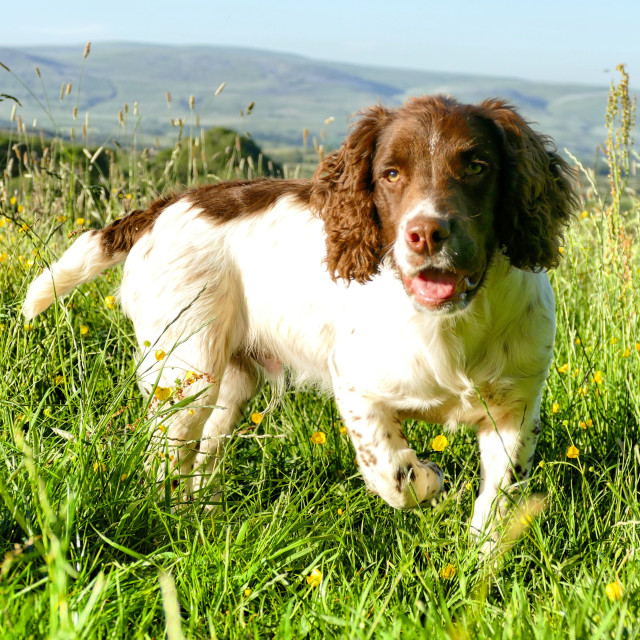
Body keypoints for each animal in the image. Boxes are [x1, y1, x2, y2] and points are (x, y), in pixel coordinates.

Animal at [23, 95, 576, 536]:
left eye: (477, 166)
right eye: (390, 173)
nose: (426, 234)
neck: (448, 323)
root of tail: (165, 206)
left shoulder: (517, 407)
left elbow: (500, 497)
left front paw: (479, 565)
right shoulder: (355, 387)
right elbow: (394, 472)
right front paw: (433, 478)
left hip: (231, 384)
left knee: (203, 456)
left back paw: (205, 518)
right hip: (184, 372)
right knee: (166, 457)